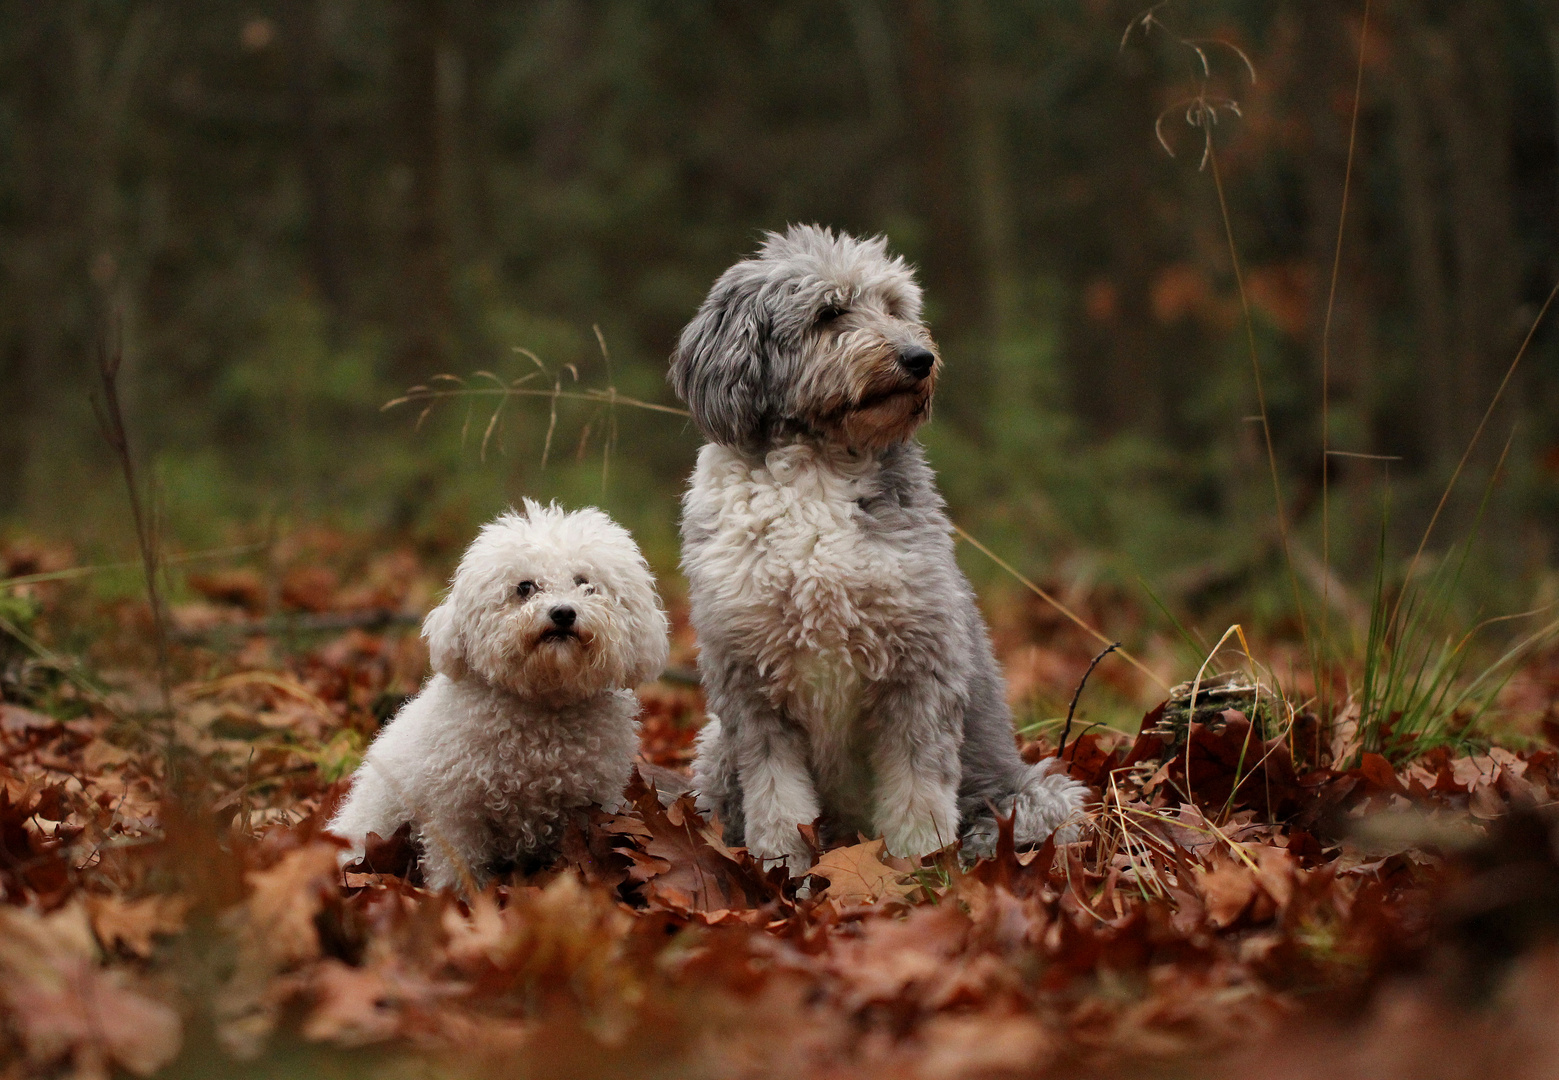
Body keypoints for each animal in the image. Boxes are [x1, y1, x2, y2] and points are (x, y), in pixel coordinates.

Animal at [325, 501, 667, 891]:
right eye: (525, 587)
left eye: (585, 583)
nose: (563, 612)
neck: (545, 709)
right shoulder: (456, 809)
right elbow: (455, 862)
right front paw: (458, 897)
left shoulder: (592, 802)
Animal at [670, 222, 1085, 872]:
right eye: (829, 312)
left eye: (895, 307)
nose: (919, 358)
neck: (819, 469)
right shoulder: (749, 682)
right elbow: (776, 800)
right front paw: (782, 870)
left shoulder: (919, 663)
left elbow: (918, 791)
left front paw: (920, 870)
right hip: (714, 747)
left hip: (1041, 794)